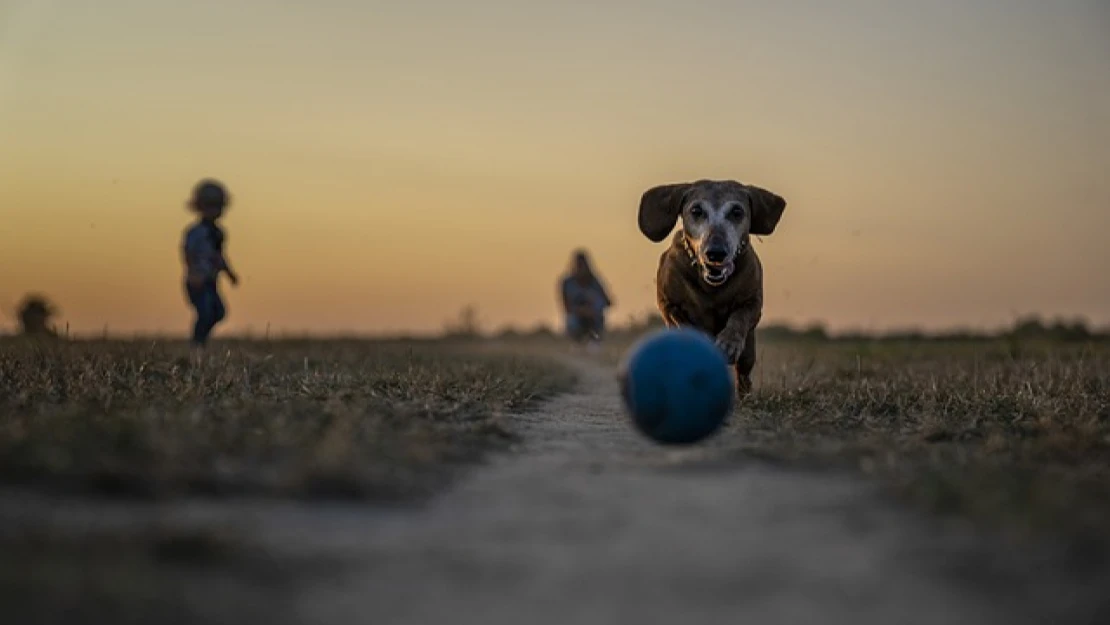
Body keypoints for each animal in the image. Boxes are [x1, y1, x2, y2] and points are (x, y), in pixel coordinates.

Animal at [639, 179, 785, 395]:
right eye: (696, 210)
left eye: (737, 212)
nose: (716, 252)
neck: (711, 287)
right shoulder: (668, 304)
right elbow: (682, 322)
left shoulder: (752, 302)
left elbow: (739, 318)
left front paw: (729, 343)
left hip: (748, 352)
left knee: (743, 372)